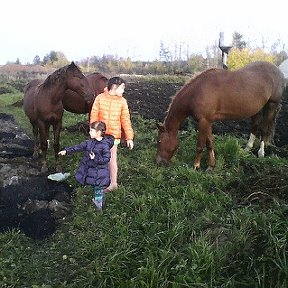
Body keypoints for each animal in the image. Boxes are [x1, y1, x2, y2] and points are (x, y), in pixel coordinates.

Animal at [156, 60, 284, 169]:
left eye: (159, 141)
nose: (159, 162)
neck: (197, 92)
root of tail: (278, 71)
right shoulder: (207, 121)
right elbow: (209, 143)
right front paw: (211, 166)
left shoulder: (203, 121)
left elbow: (200, 145)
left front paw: (196, 166)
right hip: (256, 108)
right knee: (255, 126)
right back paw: (246, 150)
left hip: (271, 104)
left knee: (264, 130)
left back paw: (261, 153)